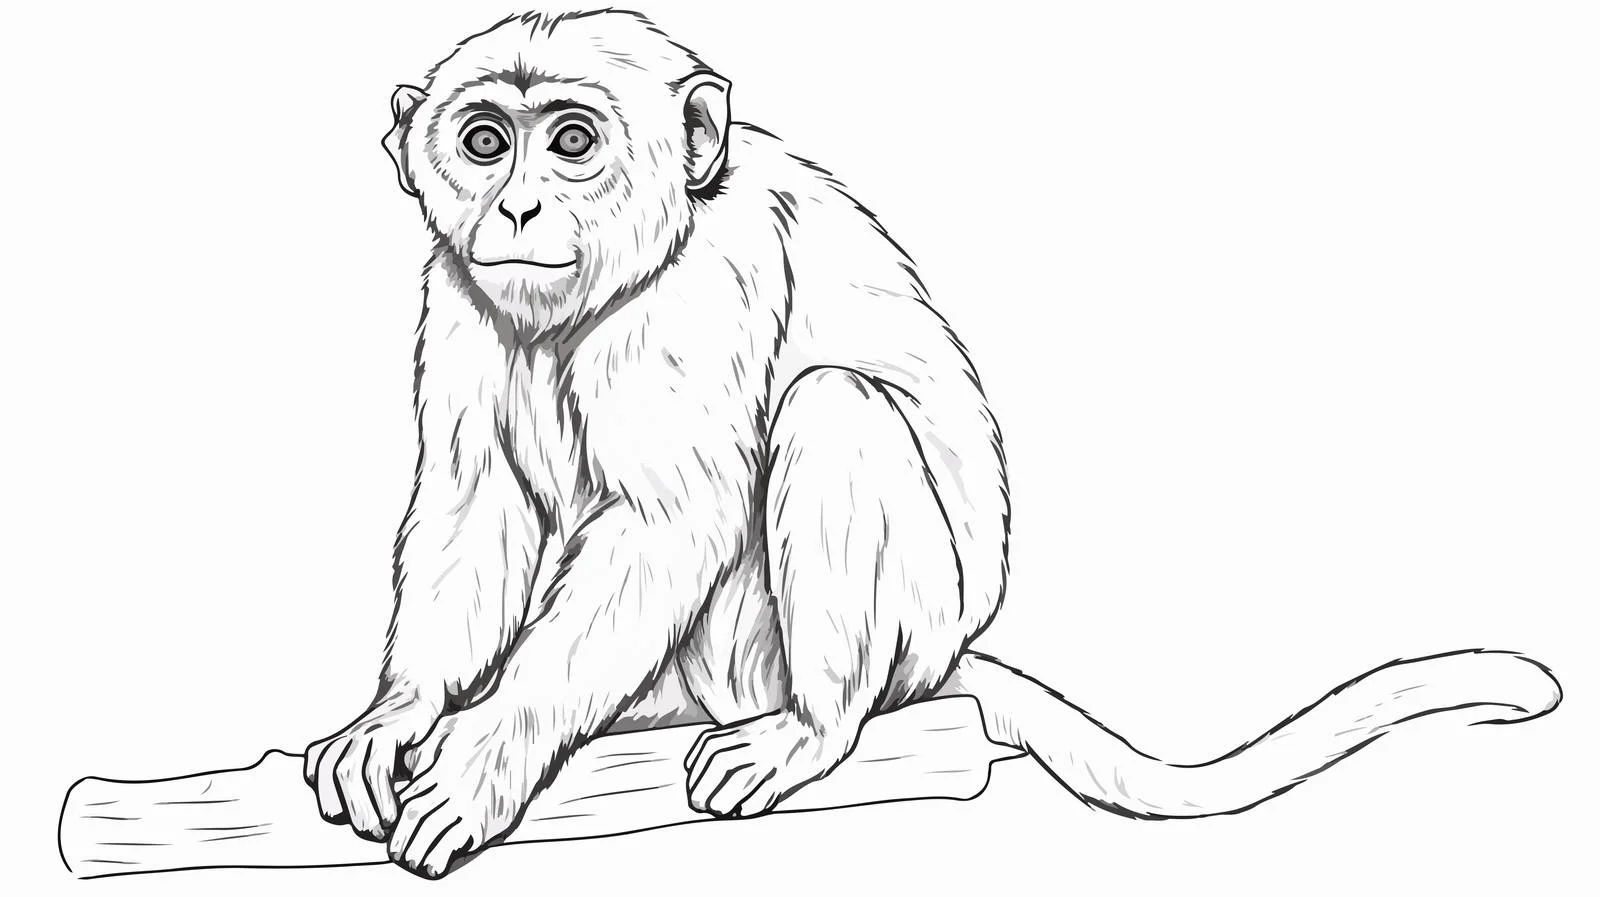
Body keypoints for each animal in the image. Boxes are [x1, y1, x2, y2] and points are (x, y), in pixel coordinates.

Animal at [302, 9, 1561, 879]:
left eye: (570, 141)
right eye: (482, 141)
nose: (515, 209)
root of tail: (946, 658)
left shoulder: (705, 281)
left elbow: (673, 516)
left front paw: (486, 756)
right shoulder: (457, 287)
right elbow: (473, 499)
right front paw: (401, 713)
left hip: (841, 640)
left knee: (832, 410)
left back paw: (816, 727)